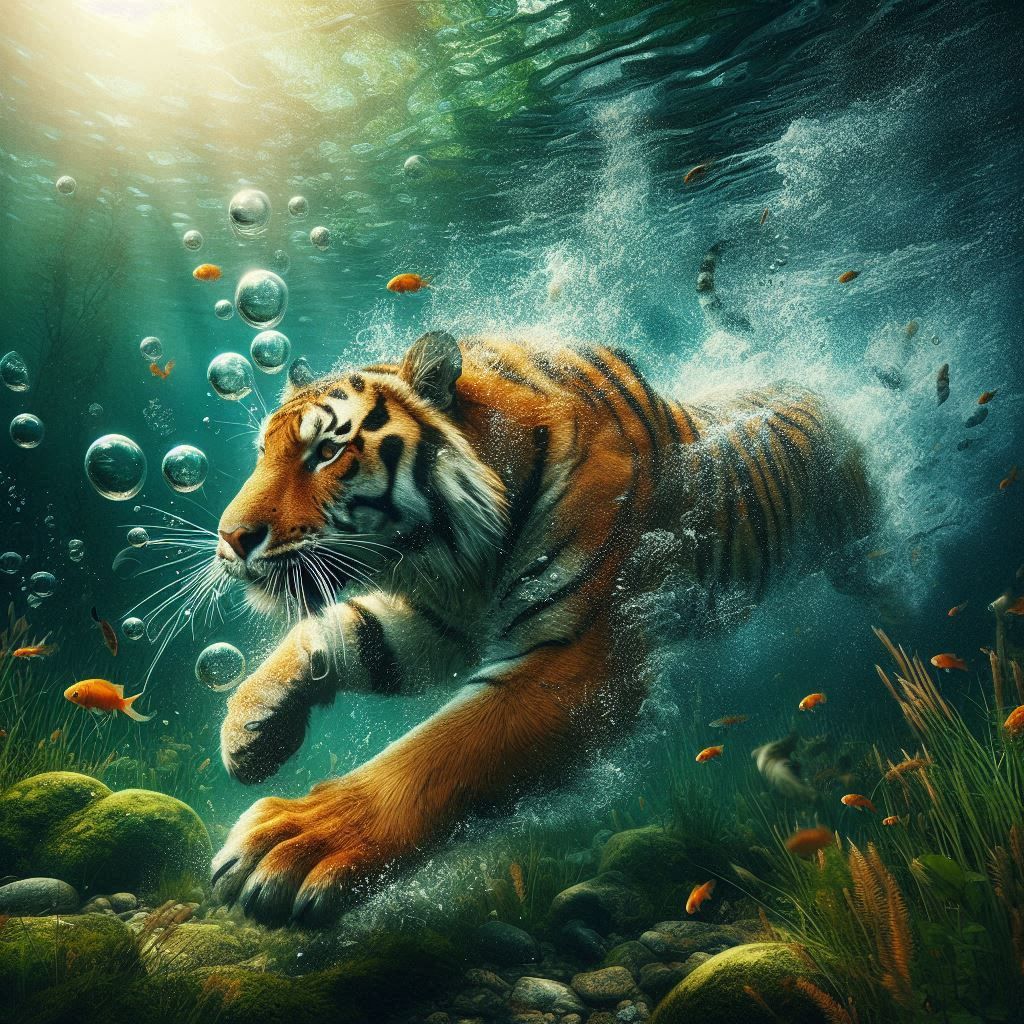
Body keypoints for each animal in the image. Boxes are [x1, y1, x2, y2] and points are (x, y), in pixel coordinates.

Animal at [210, 330, 875, 926]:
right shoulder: (439, 619)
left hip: (856, 548)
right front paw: (249, 727)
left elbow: (435, 755)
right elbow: (340, 631)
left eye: (326, 452)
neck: (457, 554)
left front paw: (296, 840)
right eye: (262, 452)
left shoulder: (574, 663)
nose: (231, 537)